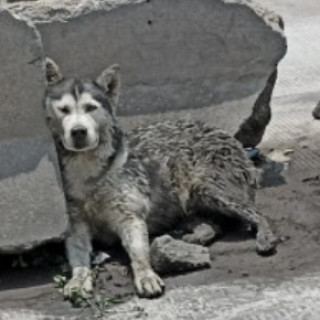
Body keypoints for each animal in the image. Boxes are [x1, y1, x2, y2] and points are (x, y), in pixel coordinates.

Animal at [43, 58, 276, 298]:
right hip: (188, 200)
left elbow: (138, 252)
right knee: (214, 225)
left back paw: (264, 236)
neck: (89, 171)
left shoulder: (130, 218)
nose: (78, 131)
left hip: (209, 187)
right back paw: (194, 236)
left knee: (257, 214)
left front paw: (146, 275)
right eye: (64, 110)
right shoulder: (75, 226)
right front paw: (78, 279)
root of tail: (228, 136)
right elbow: (79, 259)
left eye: (90, 108)